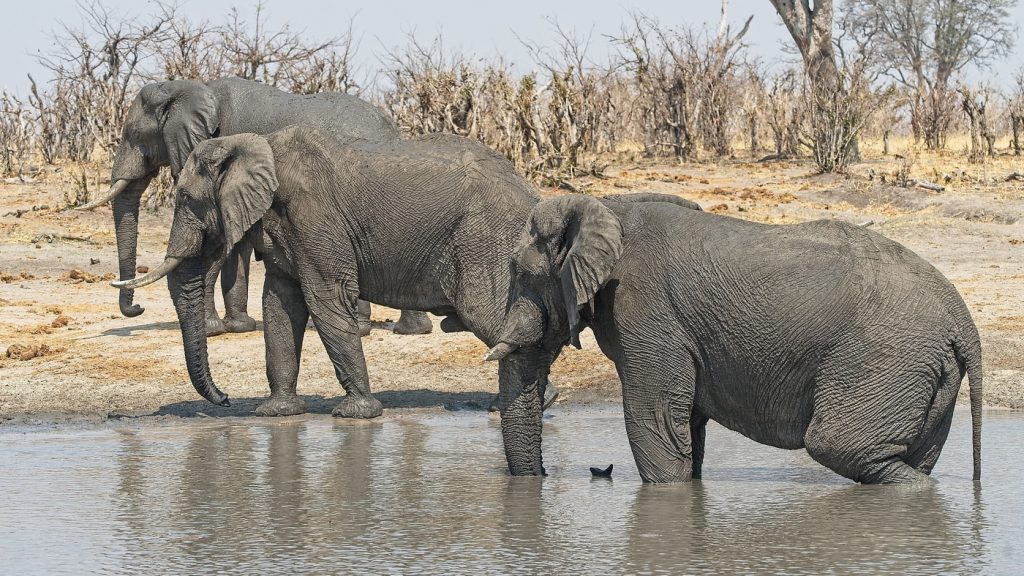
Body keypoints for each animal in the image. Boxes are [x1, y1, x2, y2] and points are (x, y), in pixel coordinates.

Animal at [79, 77, 432, 337]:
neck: (187, 87)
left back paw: (365, 329)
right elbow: (235, 244)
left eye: (134, 134)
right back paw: (409, 331)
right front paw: (238, 327)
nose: (137, 309)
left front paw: (211, 331)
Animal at [111, 127, 578, 475]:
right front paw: (276, 413)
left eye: (185, 198)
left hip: (485, 238)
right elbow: (280, 304)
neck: (254, 144)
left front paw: (356, 414)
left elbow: (326, 297)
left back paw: (535, 401)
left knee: (484, 312)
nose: (224, 399)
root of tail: (532, 193)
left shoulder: (314, 216)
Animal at [486, 194, 983, 484]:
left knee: (841, 446)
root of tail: (965, 323)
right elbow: (686, 422)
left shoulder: (646, 312)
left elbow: (655, 418)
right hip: (926, 371)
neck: (603, 207)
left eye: (521, 273)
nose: (543, 477)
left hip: (885, 358)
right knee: (910, 458)